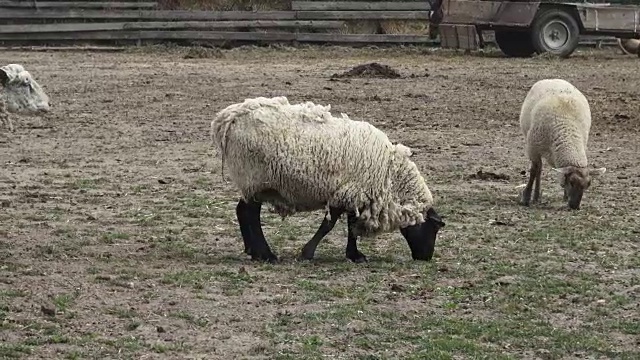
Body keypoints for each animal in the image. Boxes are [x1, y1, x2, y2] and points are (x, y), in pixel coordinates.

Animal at [210, 95, 444, 262]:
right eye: (433, 229)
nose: (425, 258)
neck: (390, 175)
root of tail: (229, 117)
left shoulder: (353, 193)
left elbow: (351, 227)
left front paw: (354, 255)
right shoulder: (347, 193)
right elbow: (329, 226)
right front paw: (307, 253)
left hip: (252, 182)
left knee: (242, 211)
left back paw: (253, 251)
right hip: (254, 178)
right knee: (250, 214)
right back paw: (266, 255)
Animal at [516, 77, 608, 210]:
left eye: (588, 184)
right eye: (571, 182)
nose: (575, 206)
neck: (567, 131)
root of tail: (552, 79)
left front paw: (565, 196)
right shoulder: (533, 148)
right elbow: (533, 171)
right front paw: (526, 198)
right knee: (539, 169)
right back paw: (536, 196)